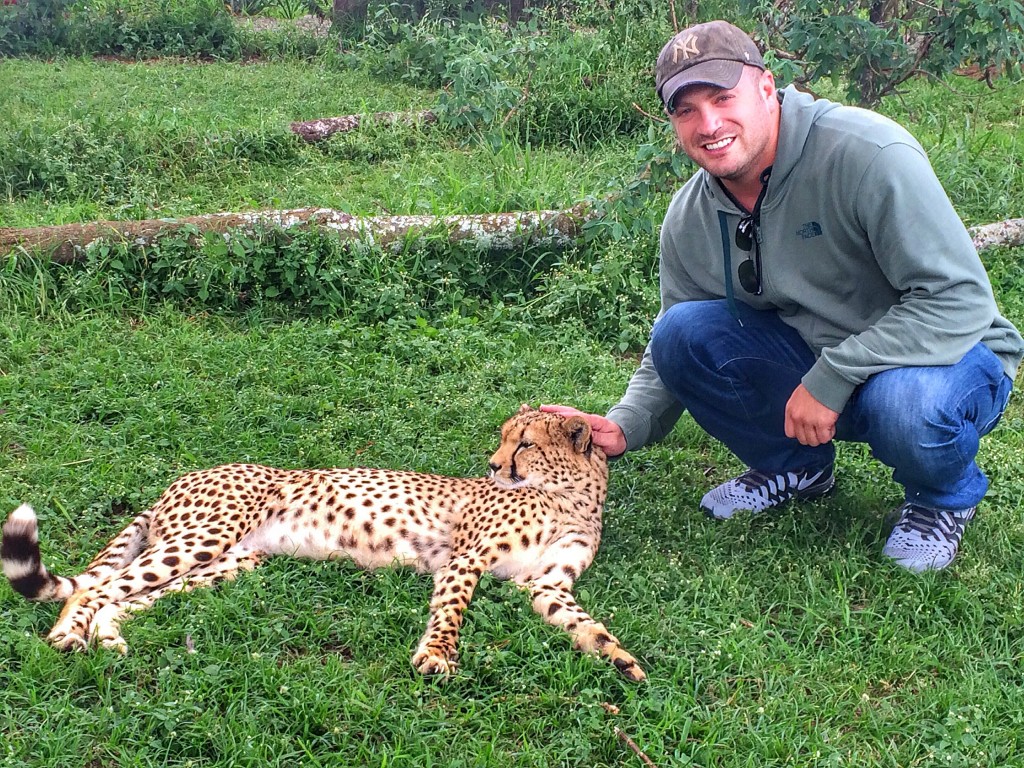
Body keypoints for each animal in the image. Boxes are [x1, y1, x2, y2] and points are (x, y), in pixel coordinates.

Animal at [2, 405, 638, 684]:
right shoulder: (466, 559)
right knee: (93, 588)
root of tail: (180, 479)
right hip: (203, 537)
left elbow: (582, 621)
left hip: (230, 561)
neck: (571, 495)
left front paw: (617, 656)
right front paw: (436, 657)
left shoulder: (546, 583)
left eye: (524, 443)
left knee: (123, 597)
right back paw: (65, 636)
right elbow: (451, 612)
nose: (491, 464)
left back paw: (107, 637)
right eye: (506, 439)